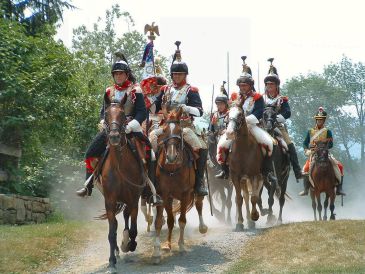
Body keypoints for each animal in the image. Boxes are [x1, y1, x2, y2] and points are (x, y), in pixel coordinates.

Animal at [100, 94, 147, 272]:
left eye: (122, 115)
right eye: (106, 114)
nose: (113, 136)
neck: (119, 166)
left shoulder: (134, 199)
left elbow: (133, 229)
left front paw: (130, 244)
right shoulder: (109, 201)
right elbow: (111, 231)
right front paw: (112, 260)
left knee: (127, 218)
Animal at [151, 106, 208, 264]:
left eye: (179, 131)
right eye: (164, 130)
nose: (171, 157)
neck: (172, 169)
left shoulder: (185, 194)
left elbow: (182, 220)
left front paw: (181, 246)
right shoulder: (164, 195)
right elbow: (164, 221)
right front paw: (162, 248)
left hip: (196, 190)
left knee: (199, 204)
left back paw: (202, 227)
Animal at [226, 99, 264, 230]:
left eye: (240, 114)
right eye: (228, 114)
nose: (229, 133)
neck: (243, 149)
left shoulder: (254, 175)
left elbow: (254, 197)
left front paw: (254, 216)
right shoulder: (235, 177)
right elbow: (239, 199)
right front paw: (239, 223)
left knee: (253, 195)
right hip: (243, 180)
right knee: (246, 196)